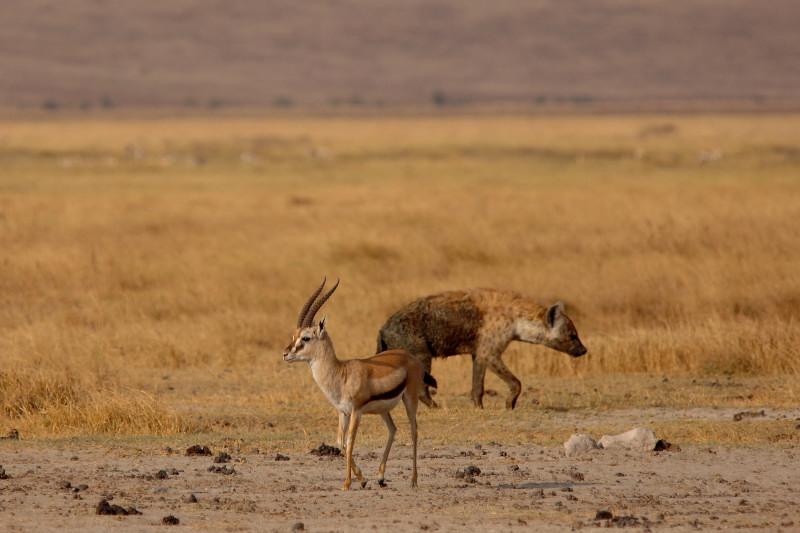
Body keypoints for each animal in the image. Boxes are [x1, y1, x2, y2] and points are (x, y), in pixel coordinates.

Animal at [282, 278, 438, 490]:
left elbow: (350, 441)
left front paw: (347, 483)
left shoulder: (357, 411)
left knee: (414, 431)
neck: (342, 374)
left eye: (306, 337)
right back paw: (380, 478)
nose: (285, 354)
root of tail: (412, 358)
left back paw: (413, 480)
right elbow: (340, 442)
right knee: (393, 429)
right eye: (294, 336)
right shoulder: (342, 412)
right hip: (383, 410)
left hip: (410, 399)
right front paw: (363, 479)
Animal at [377, 288, 587, 410]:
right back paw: (436, 407)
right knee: (421, 385)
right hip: (420, 352)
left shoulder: (479, 353)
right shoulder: (490, 351)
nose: (583, 350)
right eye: (572, 335)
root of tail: (383, 328)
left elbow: (478, 384)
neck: (516, 319)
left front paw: (479, 407)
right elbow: (516, 382)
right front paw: (509, 404)